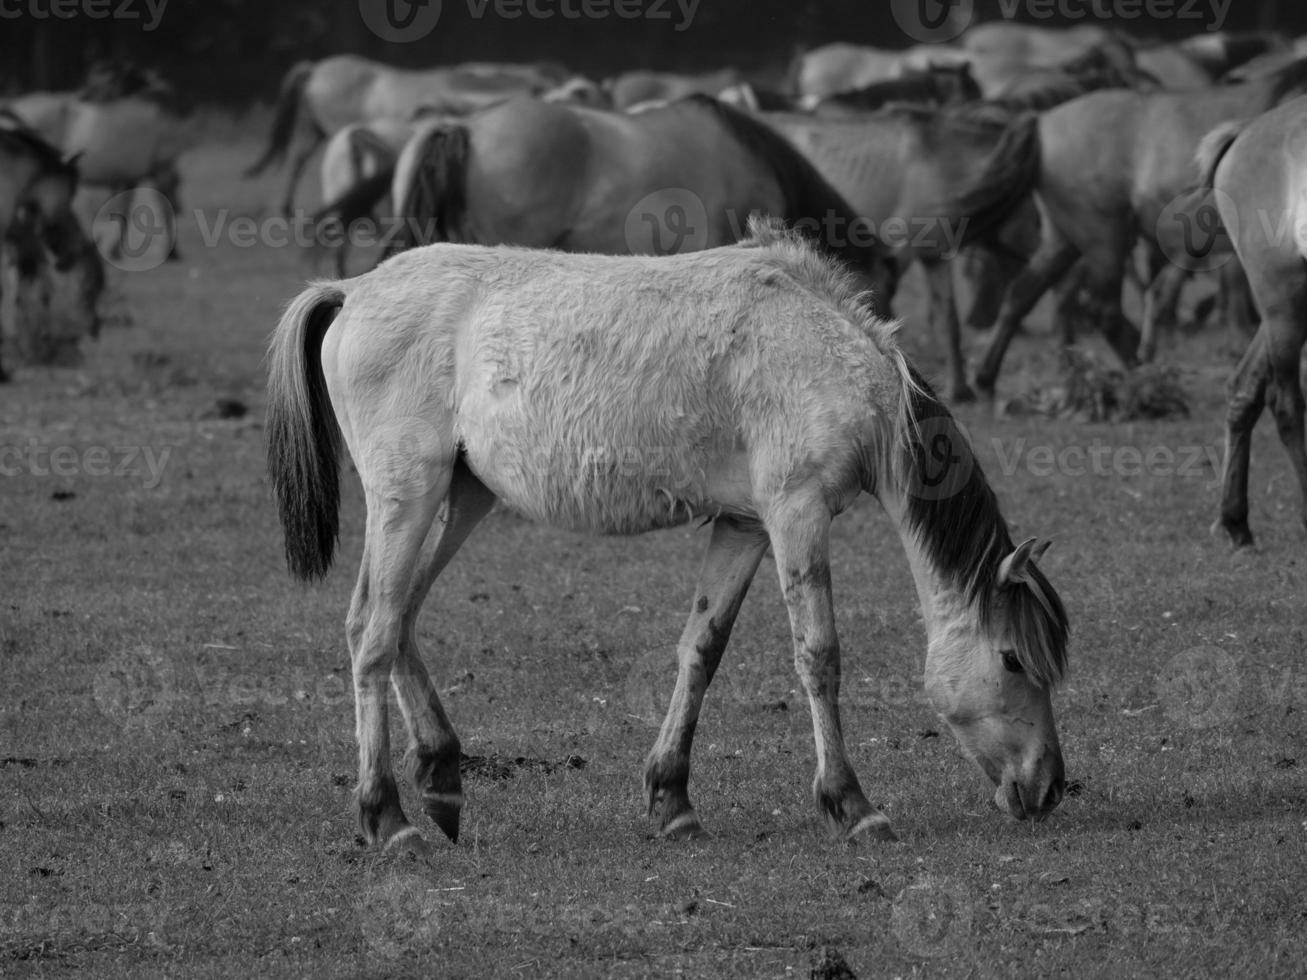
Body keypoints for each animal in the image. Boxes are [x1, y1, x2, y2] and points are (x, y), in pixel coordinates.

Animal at [265, 218, 1071, 857]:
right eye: (1011, 660)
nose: (1050, 788)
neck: (833, 357)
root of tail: (352, 290)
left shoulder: (745, 526)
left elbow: (701, 650)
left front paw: (672, 801)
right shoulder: (796, 513)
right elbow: (819, 657)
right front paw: (853, 806)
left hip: (460, 497)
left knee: (393, 617)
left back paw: (441, 778)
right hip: (407, 496)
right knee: (373, 632)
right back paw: (388, 818)